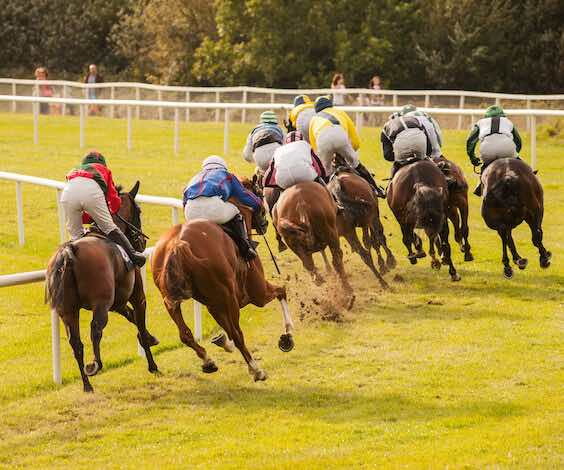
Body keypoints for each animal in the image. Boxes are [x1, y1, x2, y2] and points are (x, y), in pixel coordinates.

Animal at [44, 183, 158, 392]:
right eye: (139, 211)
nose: (142, 243)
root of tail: (68, 251)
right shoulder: (136, 296)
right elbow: (139, 318)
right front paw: (153, 365)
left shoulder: (117, 303)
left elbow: (132, 317)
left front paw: (150, 337)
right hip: (100, 303)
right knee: (95, 329)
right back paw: (95, 365)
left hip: (67, 310)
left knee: (76, 343)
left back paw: (86, 384)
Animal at [153, 184, 296, 382]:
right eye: (259, 192)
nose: (265, 222)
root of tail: (177, 244)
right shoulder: (256, 293)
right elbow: (281, 291)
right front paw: (287, 335)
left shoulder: (215, 303)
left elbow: (225, 330)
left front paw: (220, 341)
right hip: (228, 296)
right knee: (237, 333)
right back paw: (256, 369)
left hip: (172, 301)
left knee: (185, 334)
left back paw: (208, 361)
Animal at [326, 160, 396, 288]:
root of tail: (336, 187)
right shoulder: (372, 216)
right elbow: (376, 239)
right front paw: (387, 262)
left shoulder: (358, 225)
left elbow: (368, 242)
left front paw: (382, 265)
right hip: (370, 216)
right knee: (376, 237)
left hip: (347, 231)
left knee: (363, 254)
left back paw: (381, 281)